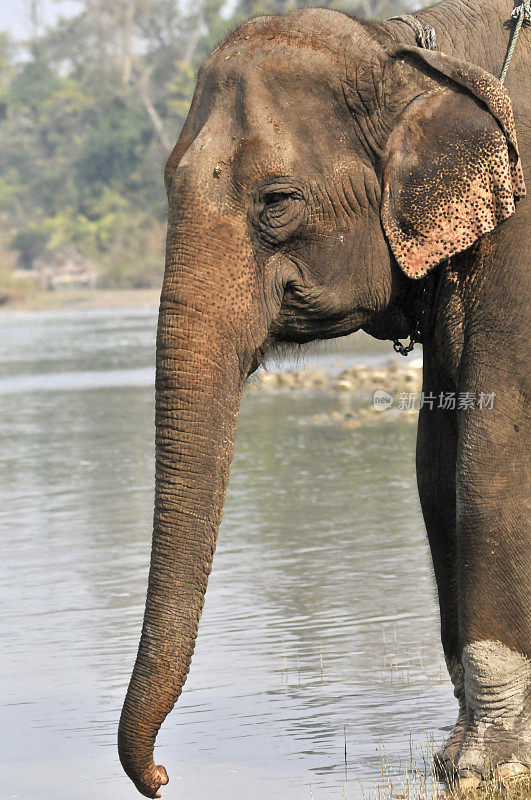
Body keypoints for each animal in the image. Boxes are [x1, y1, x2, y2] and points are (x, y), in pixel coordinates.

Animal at [118, 1, 528, 792]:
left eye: (277, 201)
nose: (161, 777)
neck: (407, 47)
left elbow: (492, 452)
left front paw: (479, 766)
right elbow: (434, 465)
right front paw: (451, 755)